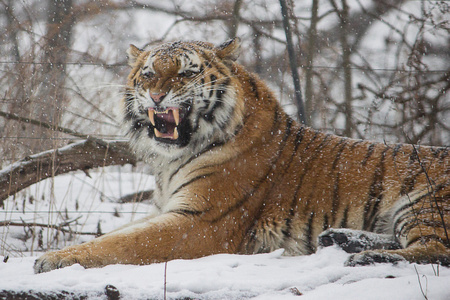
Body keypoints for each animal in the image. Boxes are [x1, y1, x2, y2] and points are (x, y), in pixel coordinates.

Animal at [34, 38, 450, 274]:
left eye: (185, 74)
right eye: (149, 74)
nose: (156, 96)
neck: (172, 159)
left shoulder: (201, 221)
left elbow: (124, 244)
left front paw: (54, 259)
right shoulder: (168, 209)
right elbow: (118, 234)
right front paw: (52, 253)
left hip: (425, 203)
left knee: (435, 250)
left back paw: (364, 258)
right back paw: (341, 238)